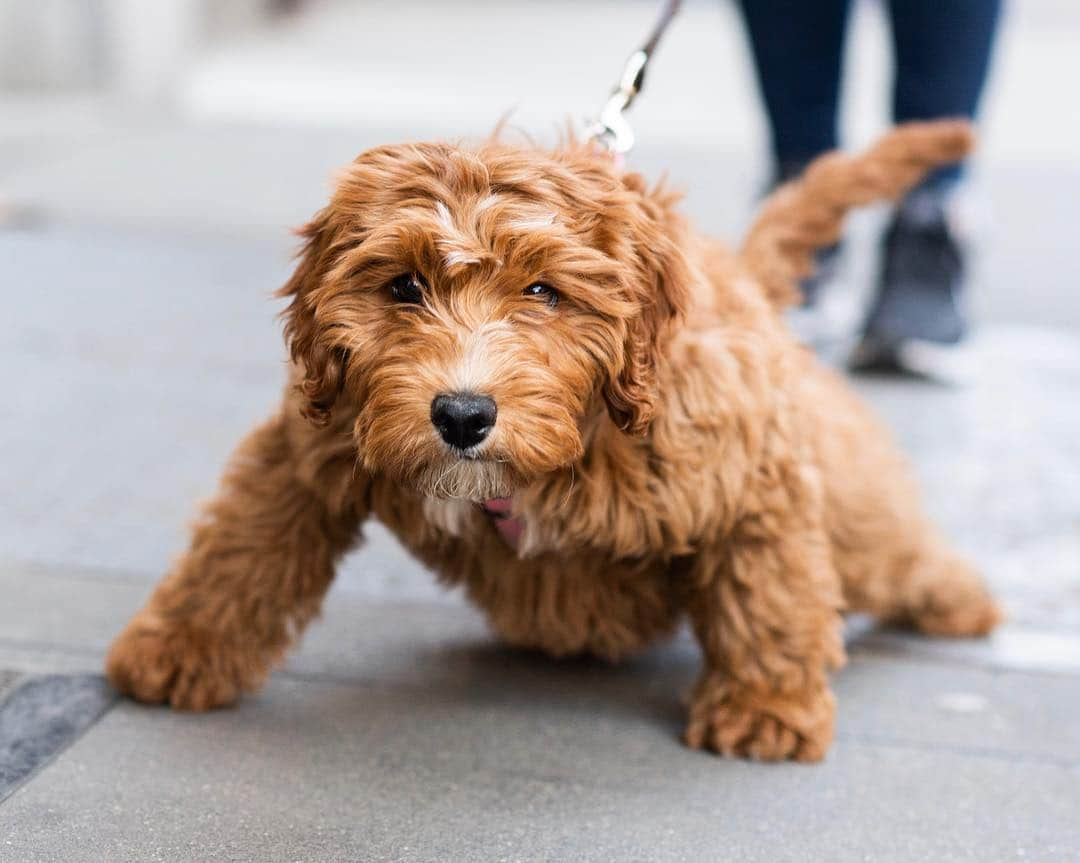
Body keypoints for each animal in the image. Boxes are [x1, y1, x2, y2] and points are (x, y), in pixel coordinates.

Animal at [109, 119, 1002, 764]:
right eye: (403, 286)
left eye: (543, 291)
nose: (461, 414)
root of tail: (746, 276)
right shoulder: (315, 442)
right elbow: (244, 543)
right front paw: (178, 647)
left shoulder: (744, 472)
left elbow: (768, 591)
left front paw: (766, 708)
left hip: (835, 480)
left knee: (881, 544)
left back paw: (957, 597)